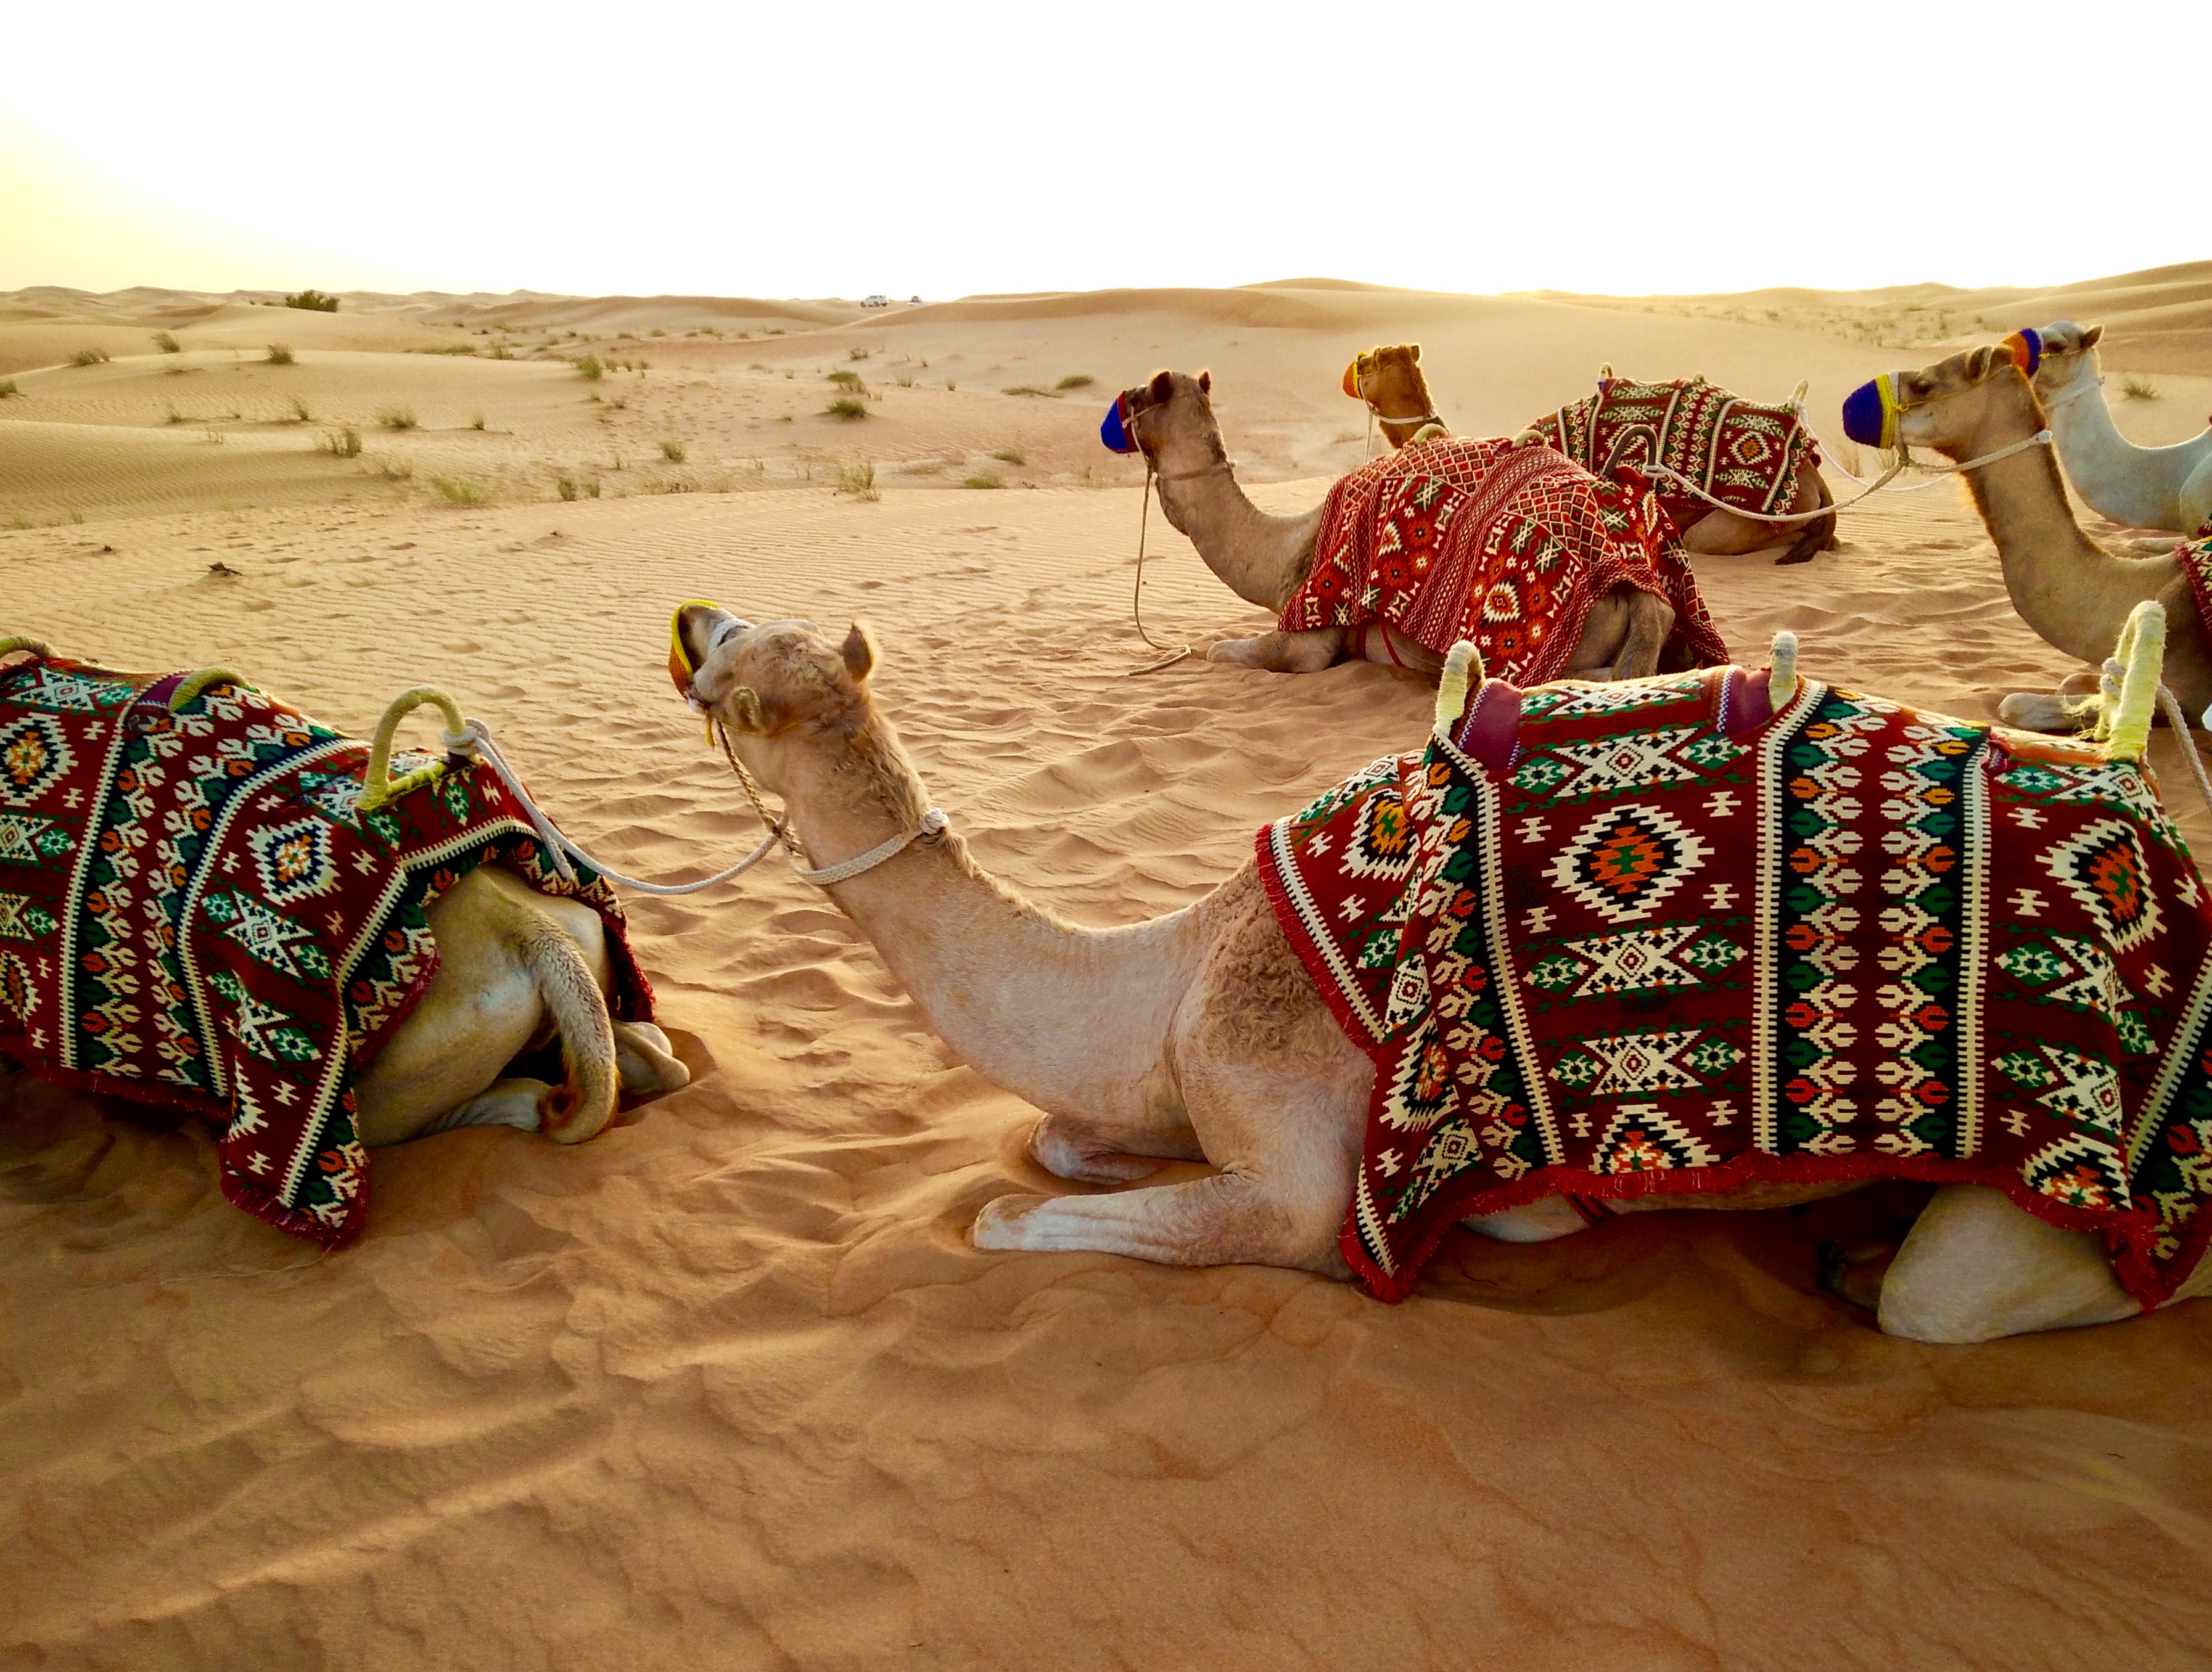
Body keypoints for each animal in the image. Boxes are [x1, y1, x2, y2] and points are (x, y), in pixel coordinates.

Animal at [664, 592, 2212, 1335]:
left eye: (731, 686)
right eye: (742, 635)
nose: (686, 620)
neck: (1176, 967)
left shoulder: (1297, 1172)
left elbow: (1010, 1215)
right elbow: (1053, 1142)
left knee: (1979, 1295)